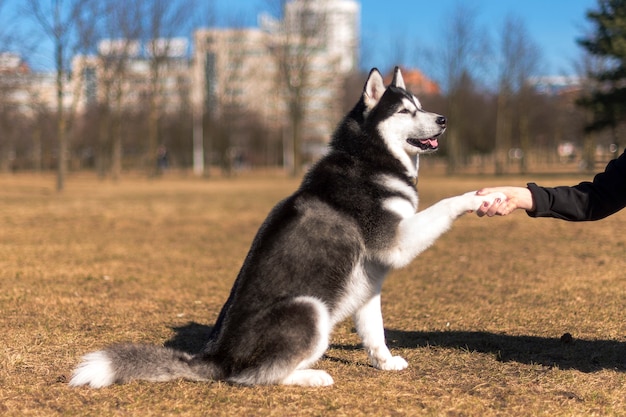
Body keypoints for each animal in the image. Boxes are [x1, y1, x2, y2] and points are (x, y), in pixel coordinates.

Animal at [70, 66, 504, 388]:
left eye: (421, 106)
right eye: (404, 112)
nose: (443, 119)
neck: (369, 160)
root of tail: (217, 358)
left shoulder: (369, 282)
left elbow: (375, 332)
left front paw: (384, 362)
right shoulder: (396, 240)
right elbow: (445, 204)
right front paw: (479, 197)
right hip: (309, 308)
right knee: (256, 377)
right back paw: (311, 376)